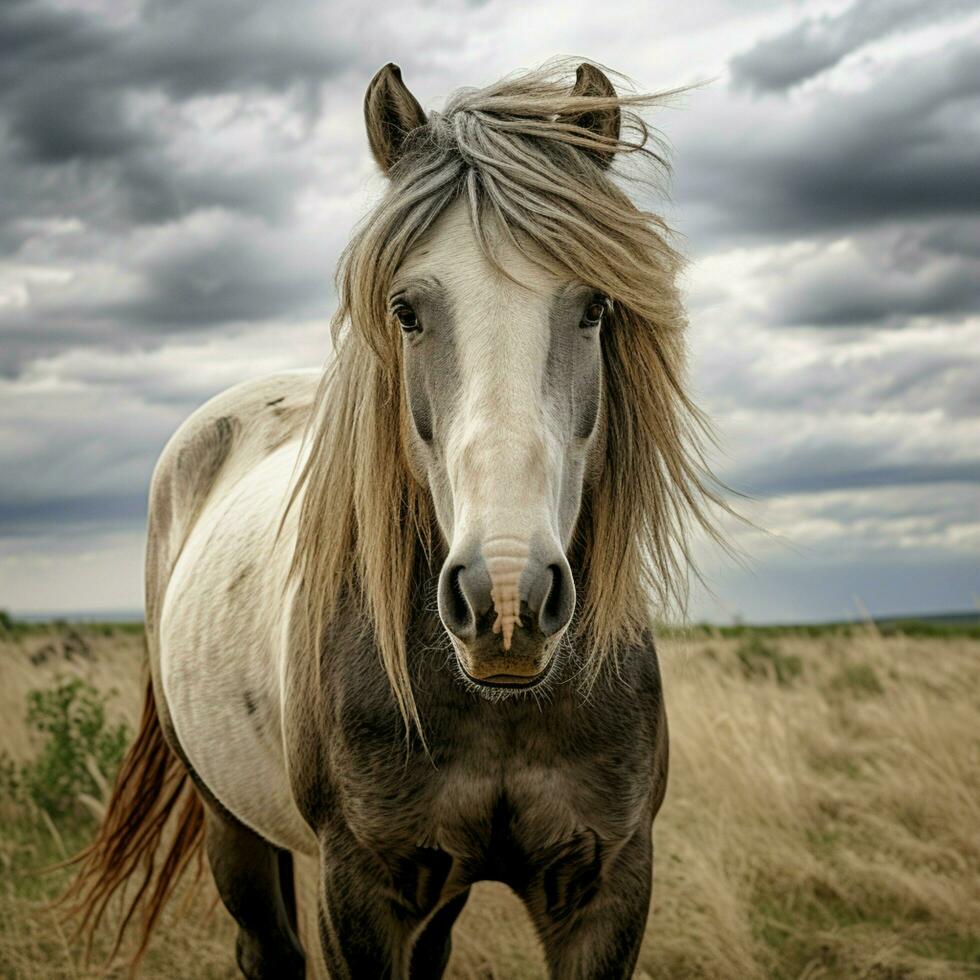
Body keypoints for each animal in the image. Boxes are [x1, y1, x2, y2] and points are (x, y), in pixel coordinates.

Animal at [61, 61, 720, 980]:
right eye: (407, 310)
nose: (506, 602)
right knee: (266, 947)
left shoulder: (606, 886)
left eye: (594, 306)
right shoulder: (360, 890)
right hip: (231, 823)